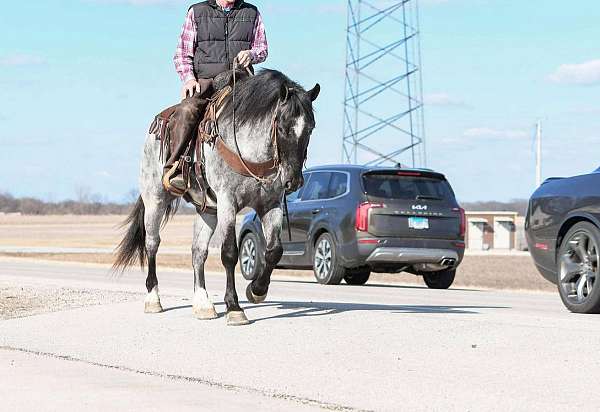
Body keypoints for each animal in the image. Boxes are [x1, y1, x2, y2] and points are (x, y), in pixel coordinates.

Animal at [115, 70, 322, 326]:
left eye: (310, 128)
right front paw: (234, 307)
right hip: (155, 199)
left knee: (198, 251)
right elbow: (229, 253)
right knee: (152, 244)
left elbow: (274, 250)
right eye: (282, 126)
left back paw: (203, 303)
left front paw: (256, 290)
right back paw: (153, 299)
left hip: (207, 210)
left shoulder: (270, 204)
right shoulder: (228, 202)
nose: (293, 181)